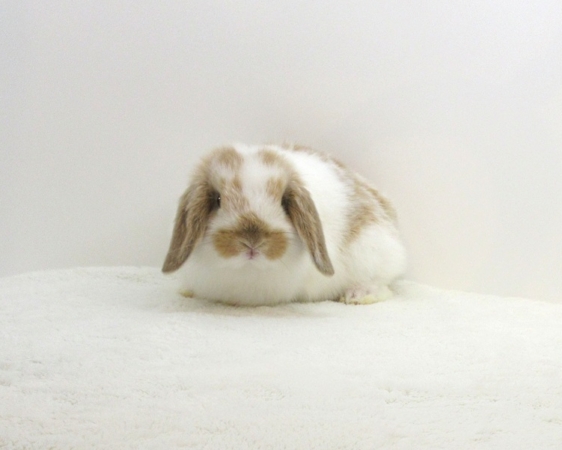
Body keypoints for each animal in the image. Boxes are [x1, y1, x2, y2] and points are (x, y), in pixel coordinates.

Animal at [162, 143, 407, 306]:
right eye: (218, 200)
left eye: (282, 202)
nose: (252, 242)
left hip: (372, 250)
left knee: (382, 284)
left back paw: (358, 296)